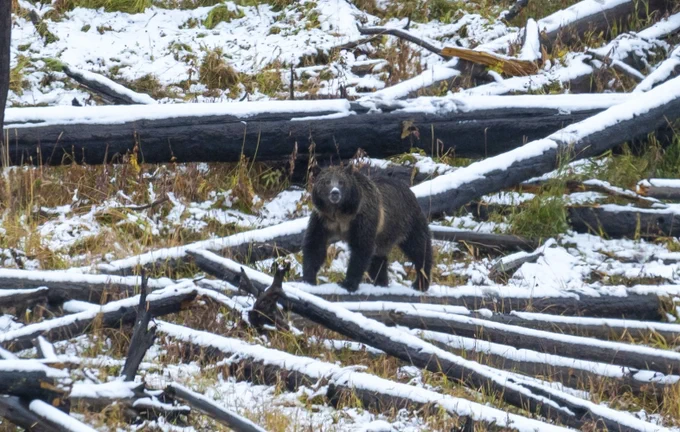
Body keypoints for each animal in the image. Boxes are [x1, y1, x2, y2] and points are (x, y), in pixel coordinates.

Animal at [302, 164, 432, 292]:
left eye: (341, 182)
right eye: (327, 182)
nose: (335, 193)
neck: (340, 213)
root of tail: (409, 189)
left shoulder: (362, 218)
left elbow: (361, 248)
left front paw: (348, 283)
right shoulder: (323, 220)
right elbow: (315, 245)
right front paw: (309, 278)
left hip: (406, 222)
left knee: (419, 248)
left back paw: (420, 283)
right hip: (384, 235)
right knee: (378, 259)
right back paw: (381, 282)